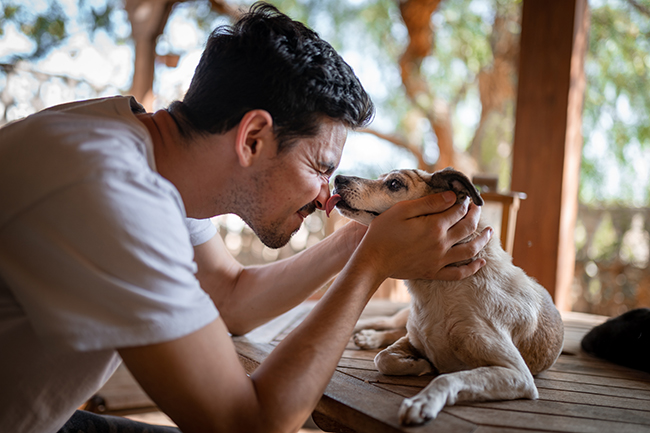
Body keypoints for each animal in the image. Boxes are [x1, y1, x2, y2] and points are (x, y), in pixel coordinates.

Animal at [324, 168, 560, 426]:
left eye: (394, 184)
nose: (337, 178)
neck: (438, 290)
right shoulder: (412, 339)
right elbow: (383, 358)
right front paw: (420, 364)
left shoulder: (516, 373)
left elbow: (447, 377)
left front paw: (423, 401)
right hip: (401, 318)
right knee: (383, 323)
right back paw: (366, 335)